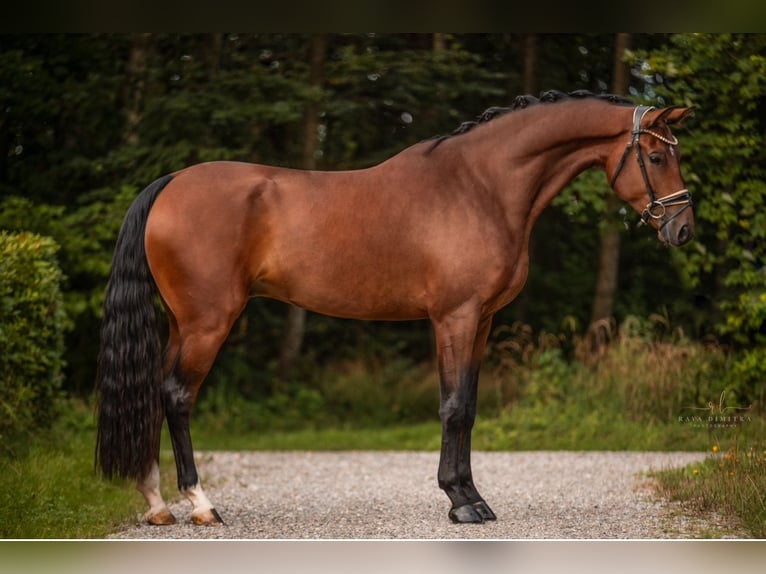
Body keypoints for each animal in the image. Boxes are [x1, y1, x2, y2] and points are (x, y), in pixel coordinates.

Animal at [94, 90, 696, 528]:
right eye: (657, 156)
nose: (682, 230)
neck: (479, 187)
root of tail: (172, 182)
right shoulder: (455, 317)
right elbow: (454, 407)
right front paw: (461, 502)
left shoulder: (482, 321)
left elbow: (469, 406)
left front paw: (471, 495)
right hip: (208, 323)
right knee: (177, 395)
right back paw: (200, 504)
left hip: (182, 323)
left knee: (154, 391)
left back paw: (156, 504)